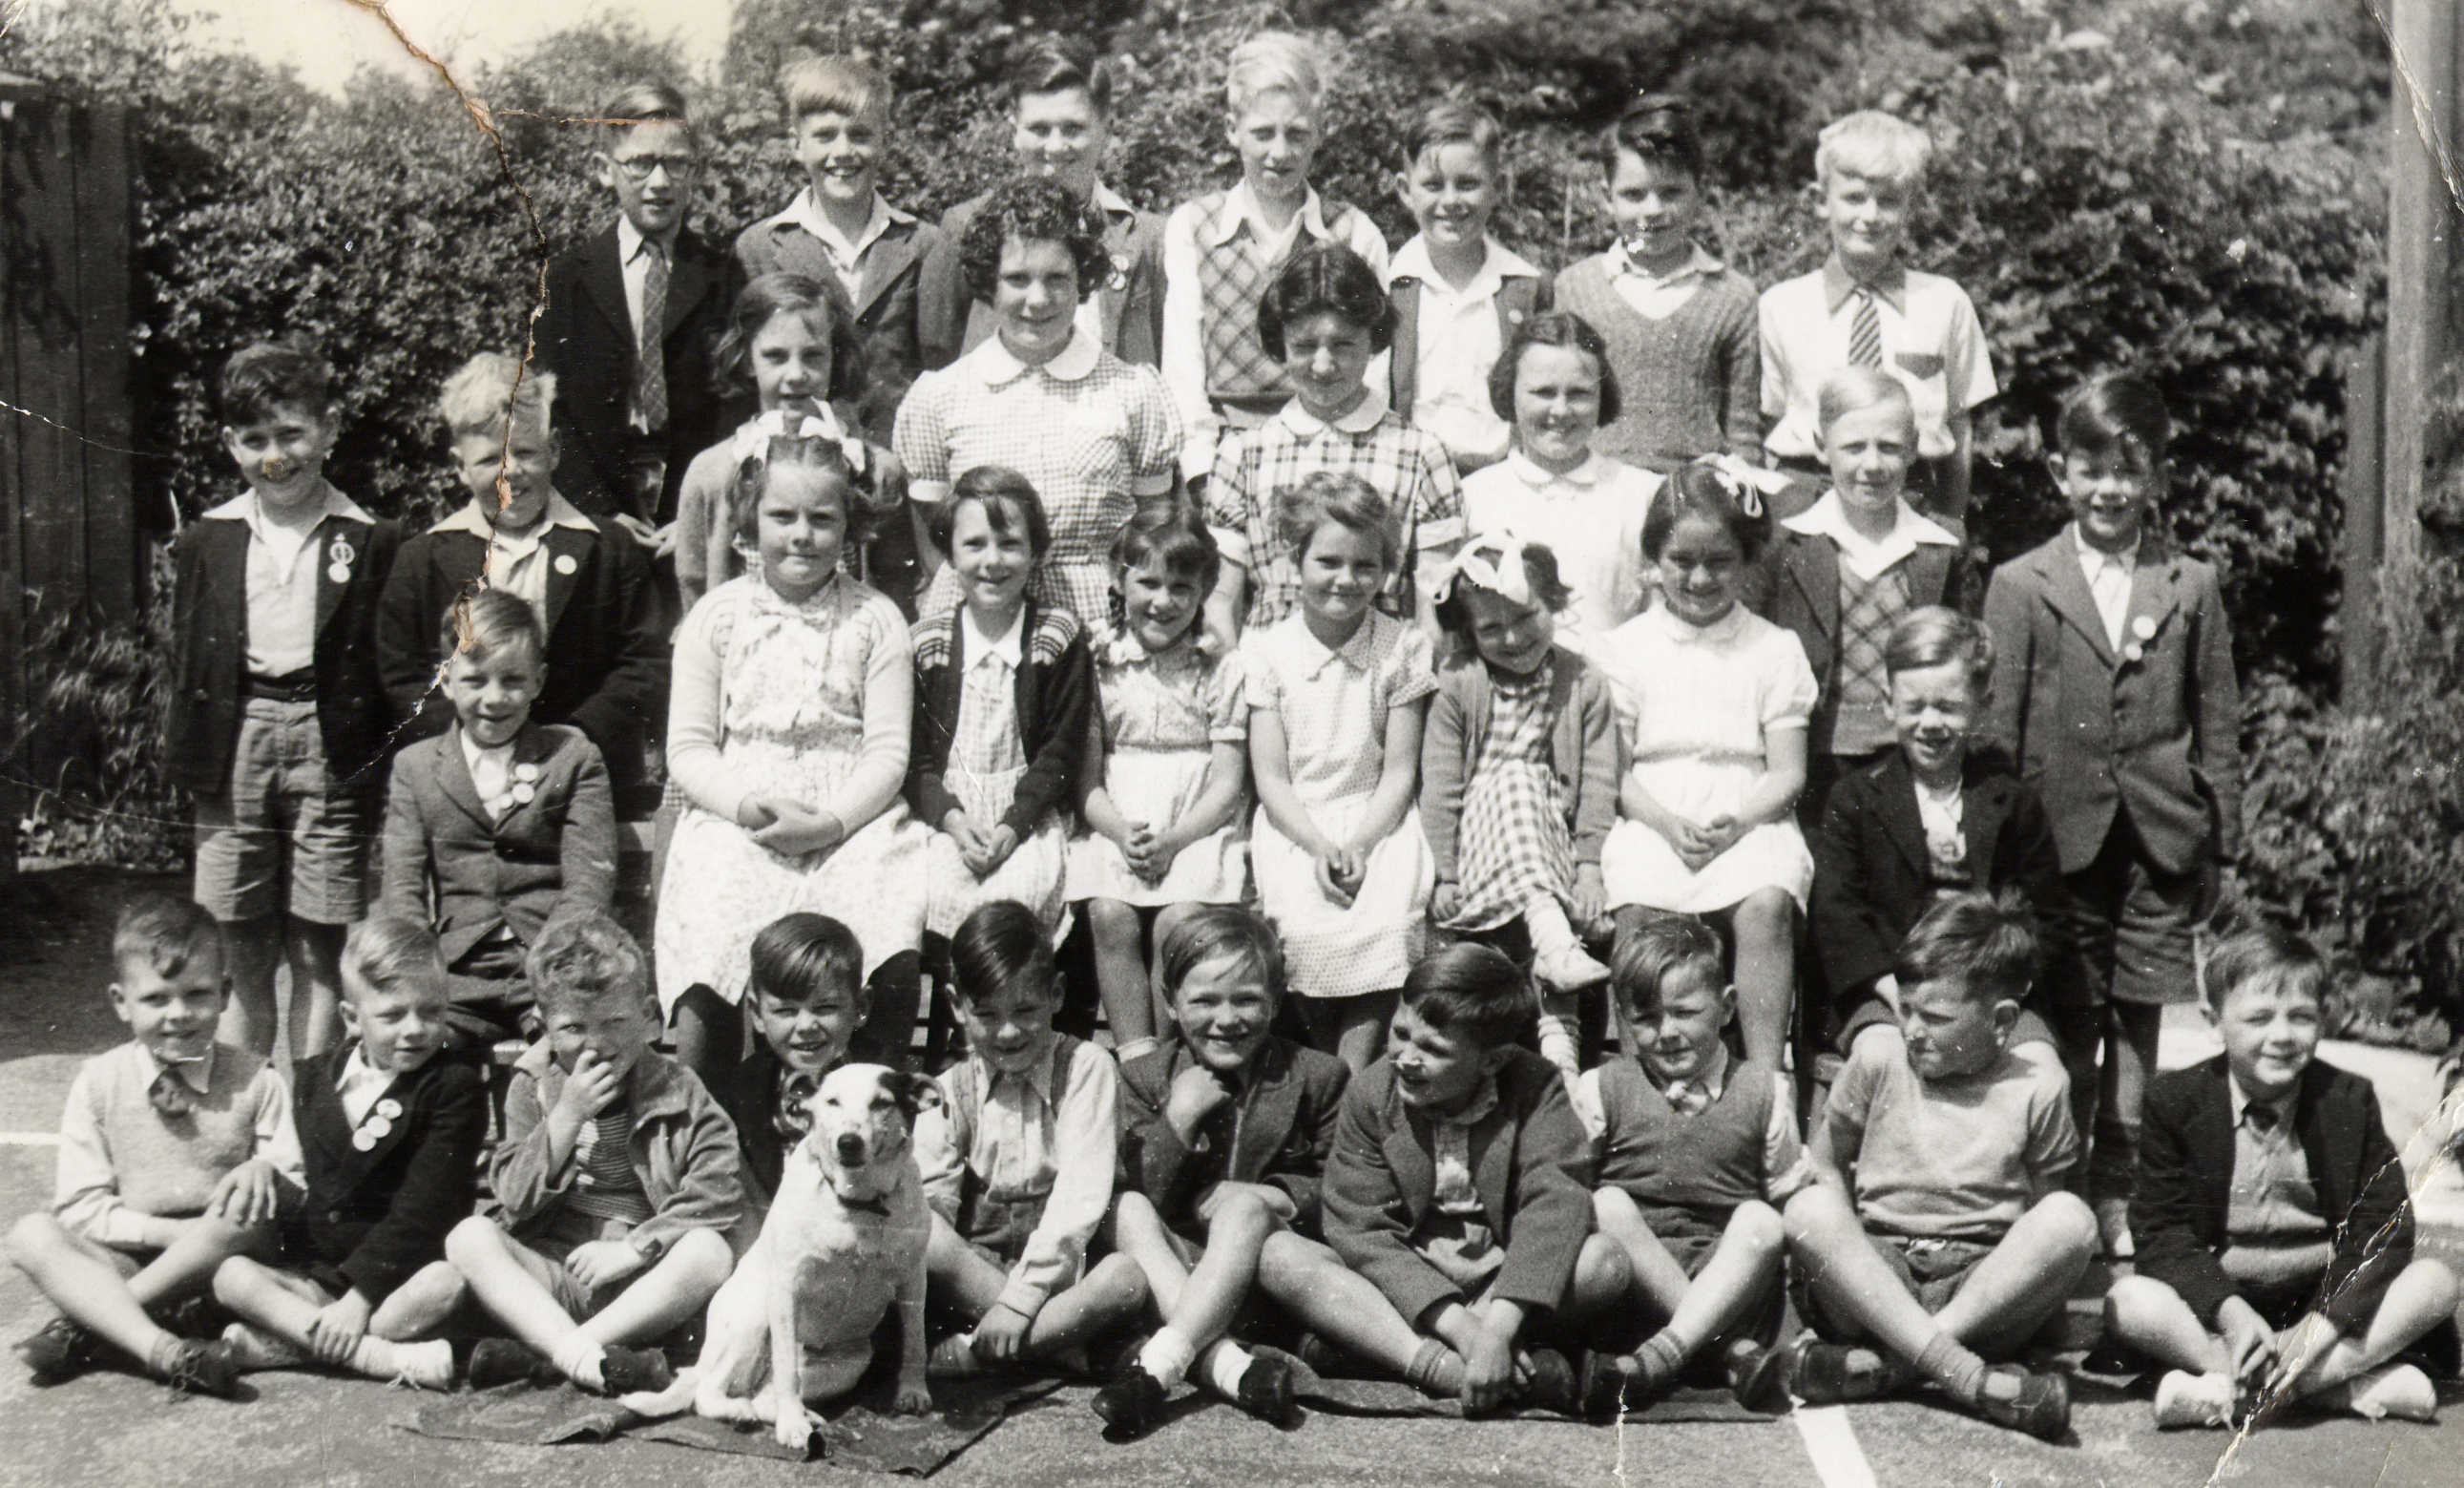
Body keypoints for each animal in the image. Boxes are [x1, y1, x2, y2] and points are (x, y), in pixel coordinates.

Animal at [630, 1064, 936, 1448]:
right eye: (832, 1101)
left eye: (882, 1103)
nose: (848, 1142)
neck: (857, 1202)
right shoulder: (788, 1289)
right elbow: (788, 1367)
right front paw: (791, 1425)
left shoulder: (913, 1279)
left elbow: (916, 1340)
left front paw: (913, 1392)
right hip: (752, 1319)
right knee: (708, 1392)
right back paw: (746, 1413)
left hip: (850, 1363)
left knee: (763, 1397)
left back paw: (802, 1416)